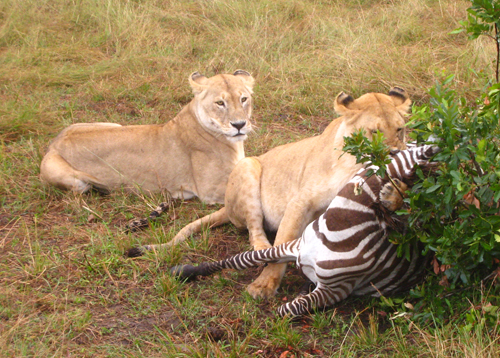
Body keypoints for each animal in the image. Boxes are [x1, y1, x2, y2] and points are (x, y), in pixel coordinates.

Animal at [40, 70, 254, 204]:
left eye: (243, 99)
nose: (239, 125)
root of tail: (55, 143)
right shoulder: (210, 190)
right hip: (74, 181)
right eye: (220, 103)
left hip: (113, 124)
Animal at [128, 86, 410, 300]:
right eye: (374, 132)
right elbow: (282, 247)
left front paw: (393, 193)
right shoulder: (300, 202)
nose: (395, 153)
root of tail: (226, 207)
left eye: (400, 129)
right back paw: (261, 249)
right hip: (248, 166)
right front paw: (264, 285)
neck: (354, 164)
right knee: (255, 231)